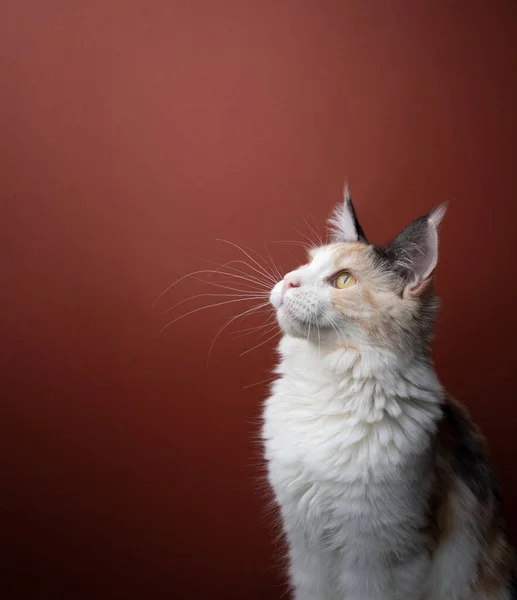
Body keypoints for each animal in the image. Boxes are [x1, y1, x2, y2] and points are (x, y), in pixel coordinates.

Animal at [262, 192, 516, 600]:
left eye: (343, 279)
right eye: (307, 263)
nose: (288, 282)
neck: (327, 384)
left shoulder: (378, 555)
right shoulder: (307, 548)